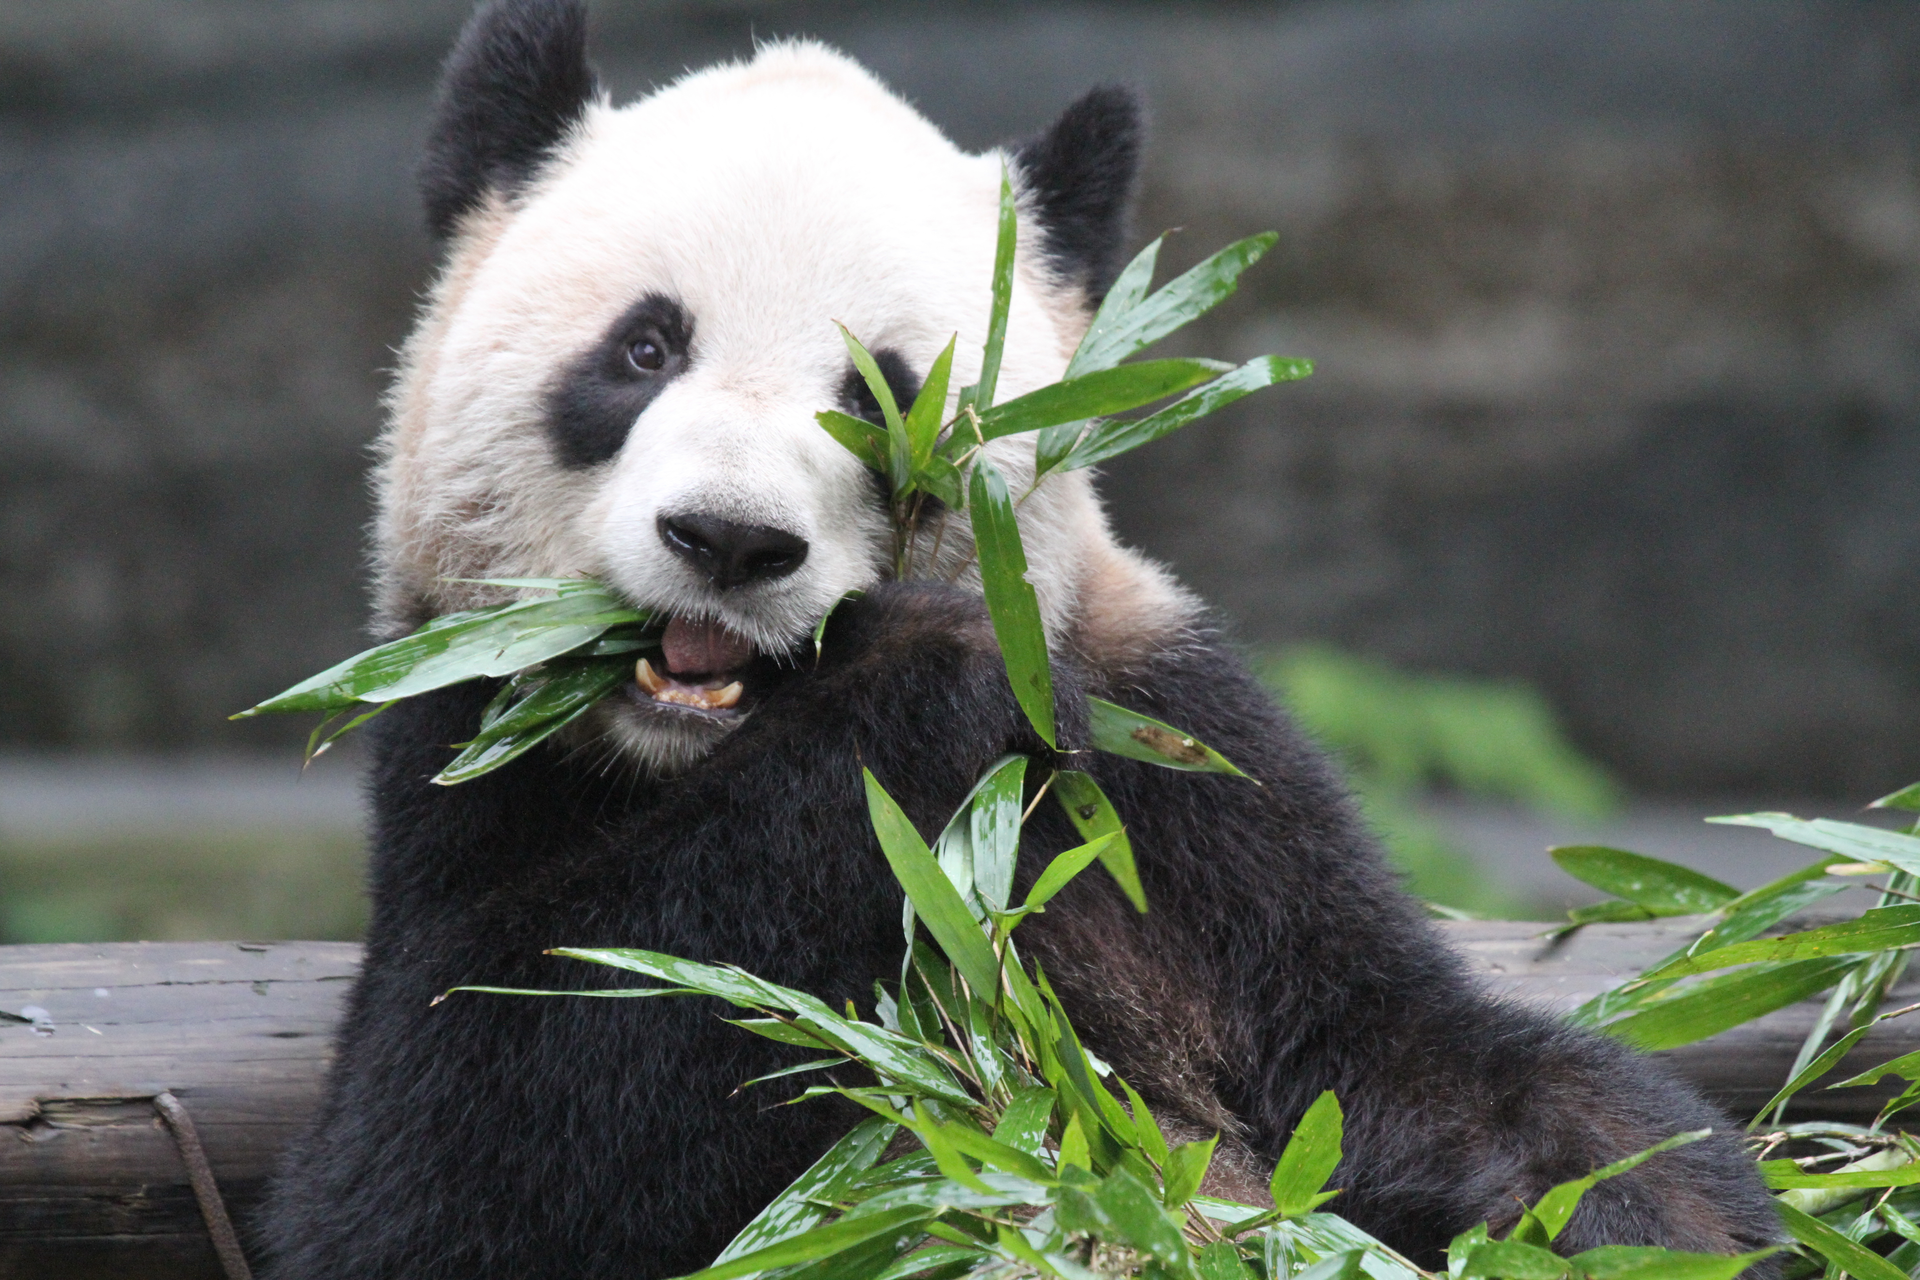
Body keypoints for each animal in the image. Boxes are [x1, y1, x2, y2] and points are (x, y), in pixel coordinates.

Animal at [258, 1, 1781, 1276]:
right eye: (643, 350)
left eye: (878, 392)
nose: (732, 542)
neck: (695, 753)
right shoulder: (464, 764)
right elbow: (444, 1160)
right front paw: (918, 670)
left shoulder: (1167, 775)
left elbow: (1393, 1055)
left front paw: (1650, 1217)